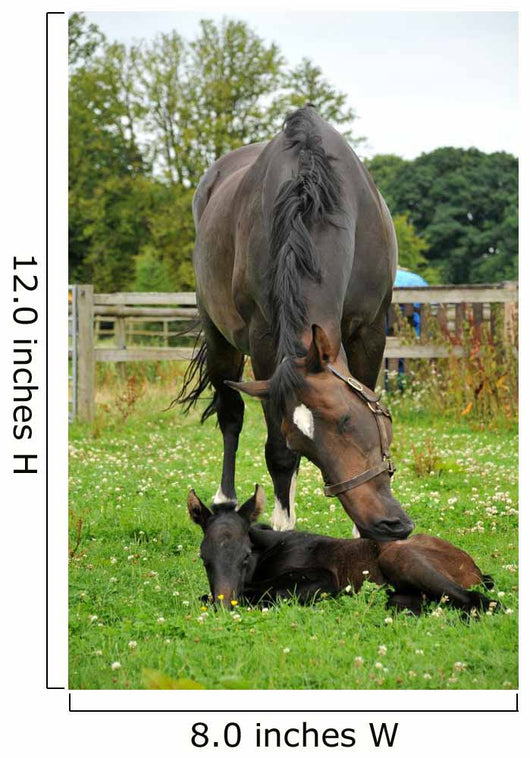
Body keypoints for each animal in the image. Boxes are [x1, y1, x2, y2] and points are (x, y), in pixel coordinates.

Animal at [178, 104, 414, 541]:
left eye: (348, 420)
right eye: (304, 443)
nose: (386, 524)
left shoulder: (371, 331)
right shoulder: (265, 341)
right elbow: (277, 453)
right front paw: (283, 526)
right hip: (220, 340)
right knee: (230, 415)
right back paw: (225, 498)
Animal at [187, 486, 495, 614]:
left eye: (245, 556)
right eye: (204, 559)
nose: (225, 606)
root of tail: (476, 568)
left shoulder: (325, 579)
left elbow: (266, 592)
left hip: (400, 557)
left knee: (479, 600)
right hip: (404, 592)